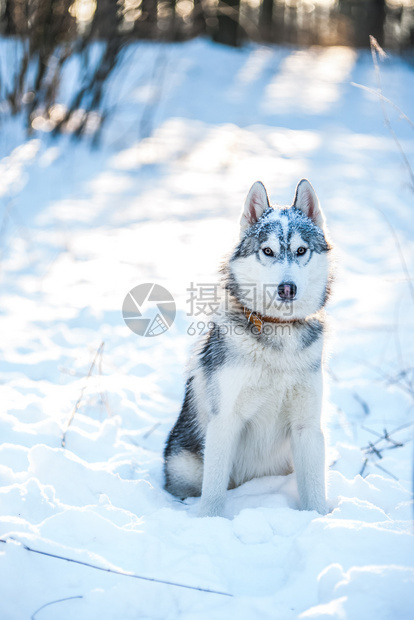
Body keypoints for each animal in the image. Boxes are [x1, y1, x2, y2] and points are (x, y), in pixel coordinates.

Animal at [164, 179, 334, 520]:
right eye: (267, 251)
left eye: (301, 250)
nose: (287, 288)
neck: (279, 333)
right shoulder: (225, 421)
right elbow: (213, 493)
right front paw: (209, 522)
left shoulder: (307, 427)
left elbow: (314, 491)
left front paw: (318, 519)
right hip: (185, 464)